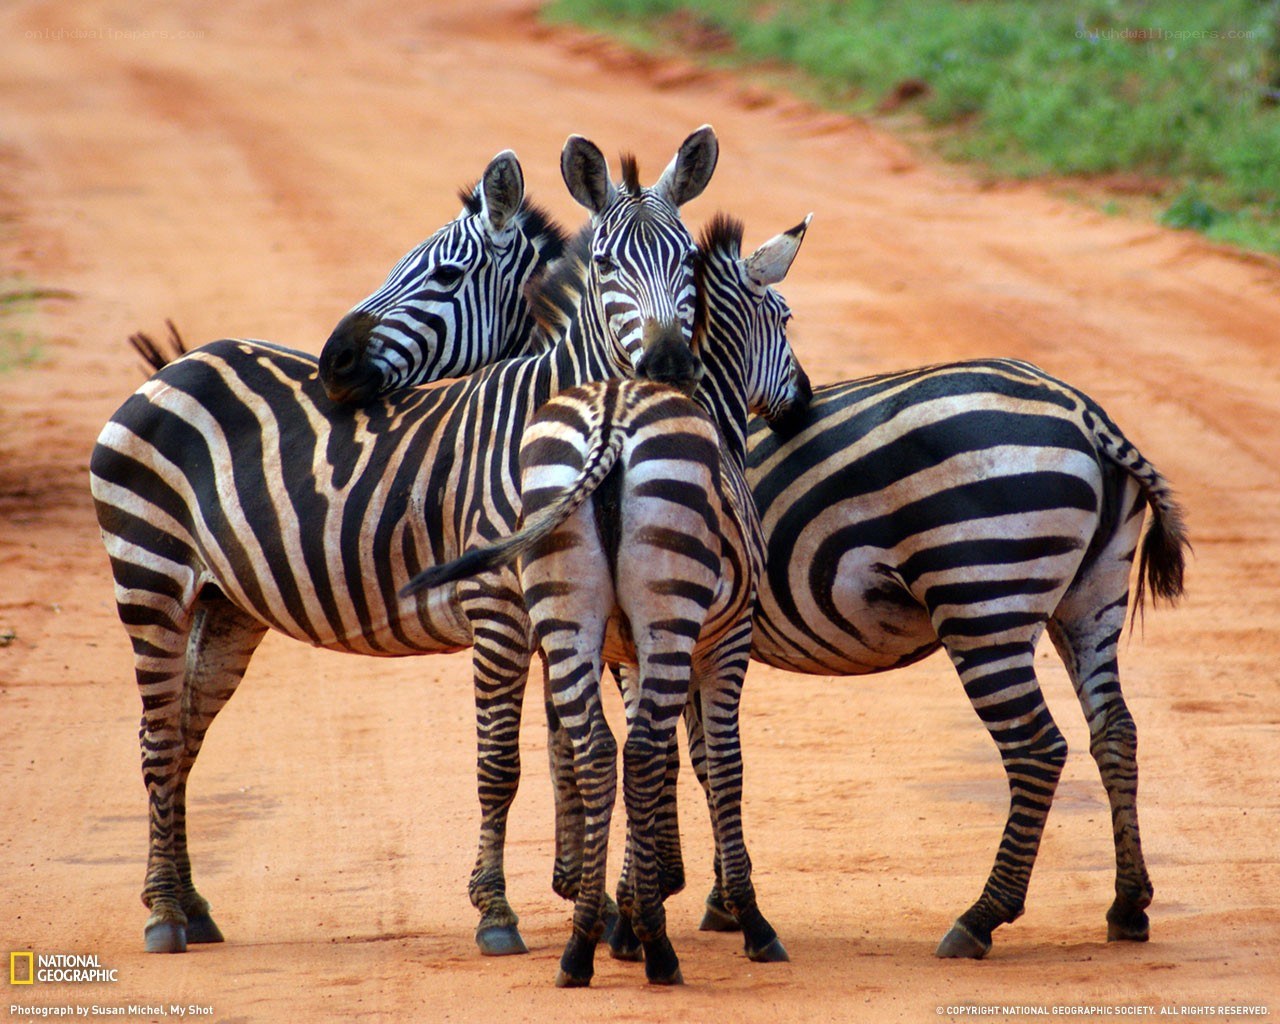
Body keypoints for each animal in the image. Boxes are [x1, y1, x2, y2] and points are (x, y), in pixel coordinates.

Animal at [89, 126, 719, 957]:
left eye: (690, 262)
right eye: (610, 265)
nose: (670, 363)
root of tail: (179, 364)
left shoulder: (565, 611)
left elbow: (583, 751)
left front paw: (609, 908)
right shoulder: (495, 611)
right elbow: (501, 765)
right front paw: (498, 913)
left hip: (226, 604)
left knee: (184, 732)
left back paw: (190, 904)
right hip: (150, 575)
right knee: (158, 737)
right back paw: (162, 913)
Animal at [401, 211, 812, 986]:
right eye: (785, 316)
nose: (804, 403)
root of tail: (611, 426)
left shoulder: (625, 650)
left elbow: (654, 761)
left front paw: (630, 899)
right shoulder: (725, 640)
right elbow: (718, 765)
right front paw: (737, 914)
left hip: (571, 615)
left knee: (598, 748)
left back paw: (583, 943)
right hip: (670, 620)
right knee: (642, 749)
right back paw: (656, 949)